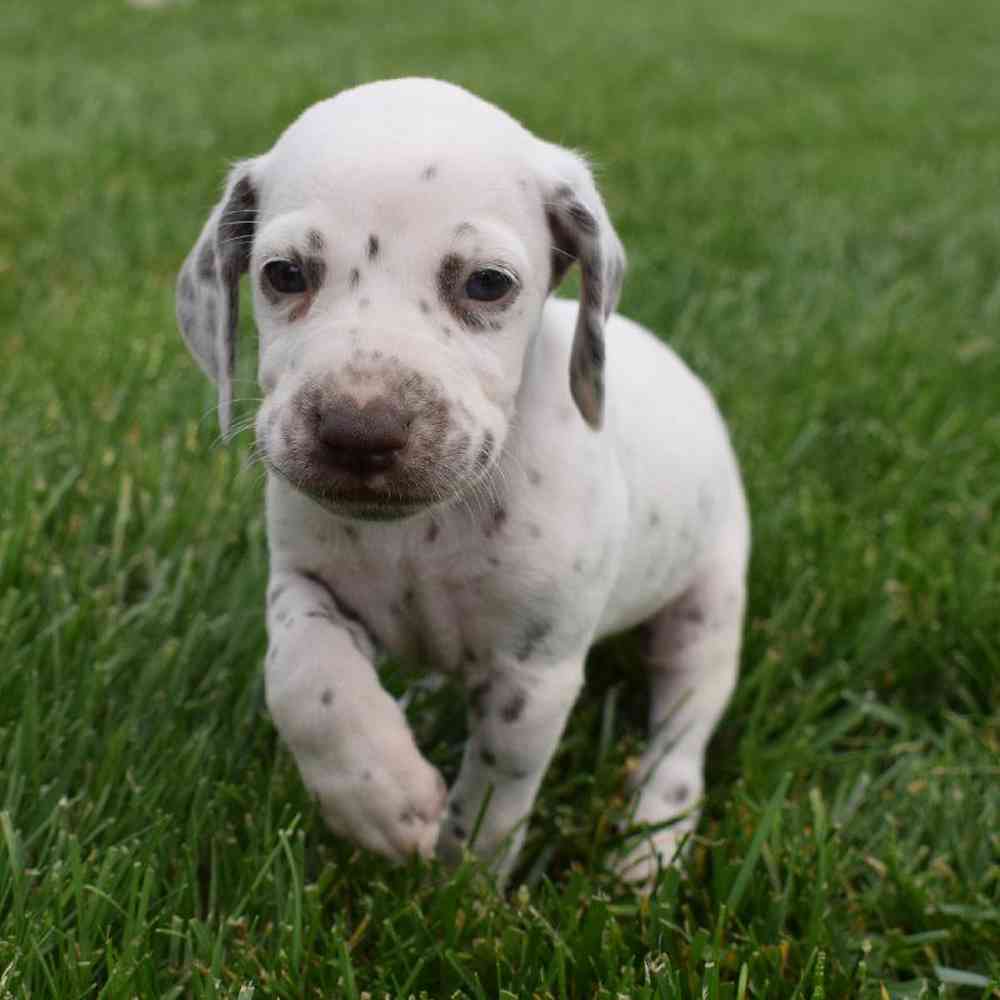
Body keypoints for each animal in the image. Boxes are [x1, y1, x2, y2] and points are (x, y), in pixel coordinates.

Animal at [176, 78, 748, 884]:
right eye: (284, 274)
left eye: (487, 284)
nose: (360, 427)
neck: (421, 535)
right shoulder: (304, 581)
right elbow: (306, 678)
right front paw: (383, 798)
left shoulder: (533, 674)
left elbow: (494, 794)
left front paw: (458, 886)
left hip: (710, 608)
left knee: (681, 735)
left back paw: (649, 848)